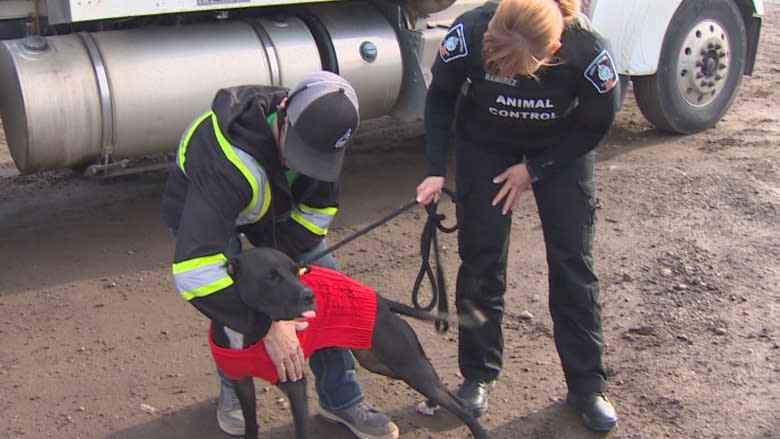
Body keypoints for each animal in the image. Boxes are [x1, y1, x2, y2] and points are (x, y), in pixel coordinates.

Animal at [207, 248, 488, 439]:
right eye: (271, 276)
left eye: (296, 271)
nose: (310, 296)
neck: (248, 328)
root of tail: (382, 301)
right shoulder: (242, 382)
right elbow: (250, 423)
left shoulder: (296, 386)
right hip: (384, 364)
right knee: (447, 393)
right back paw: (432, 405)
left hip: (408, 364)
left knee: (459, 405)